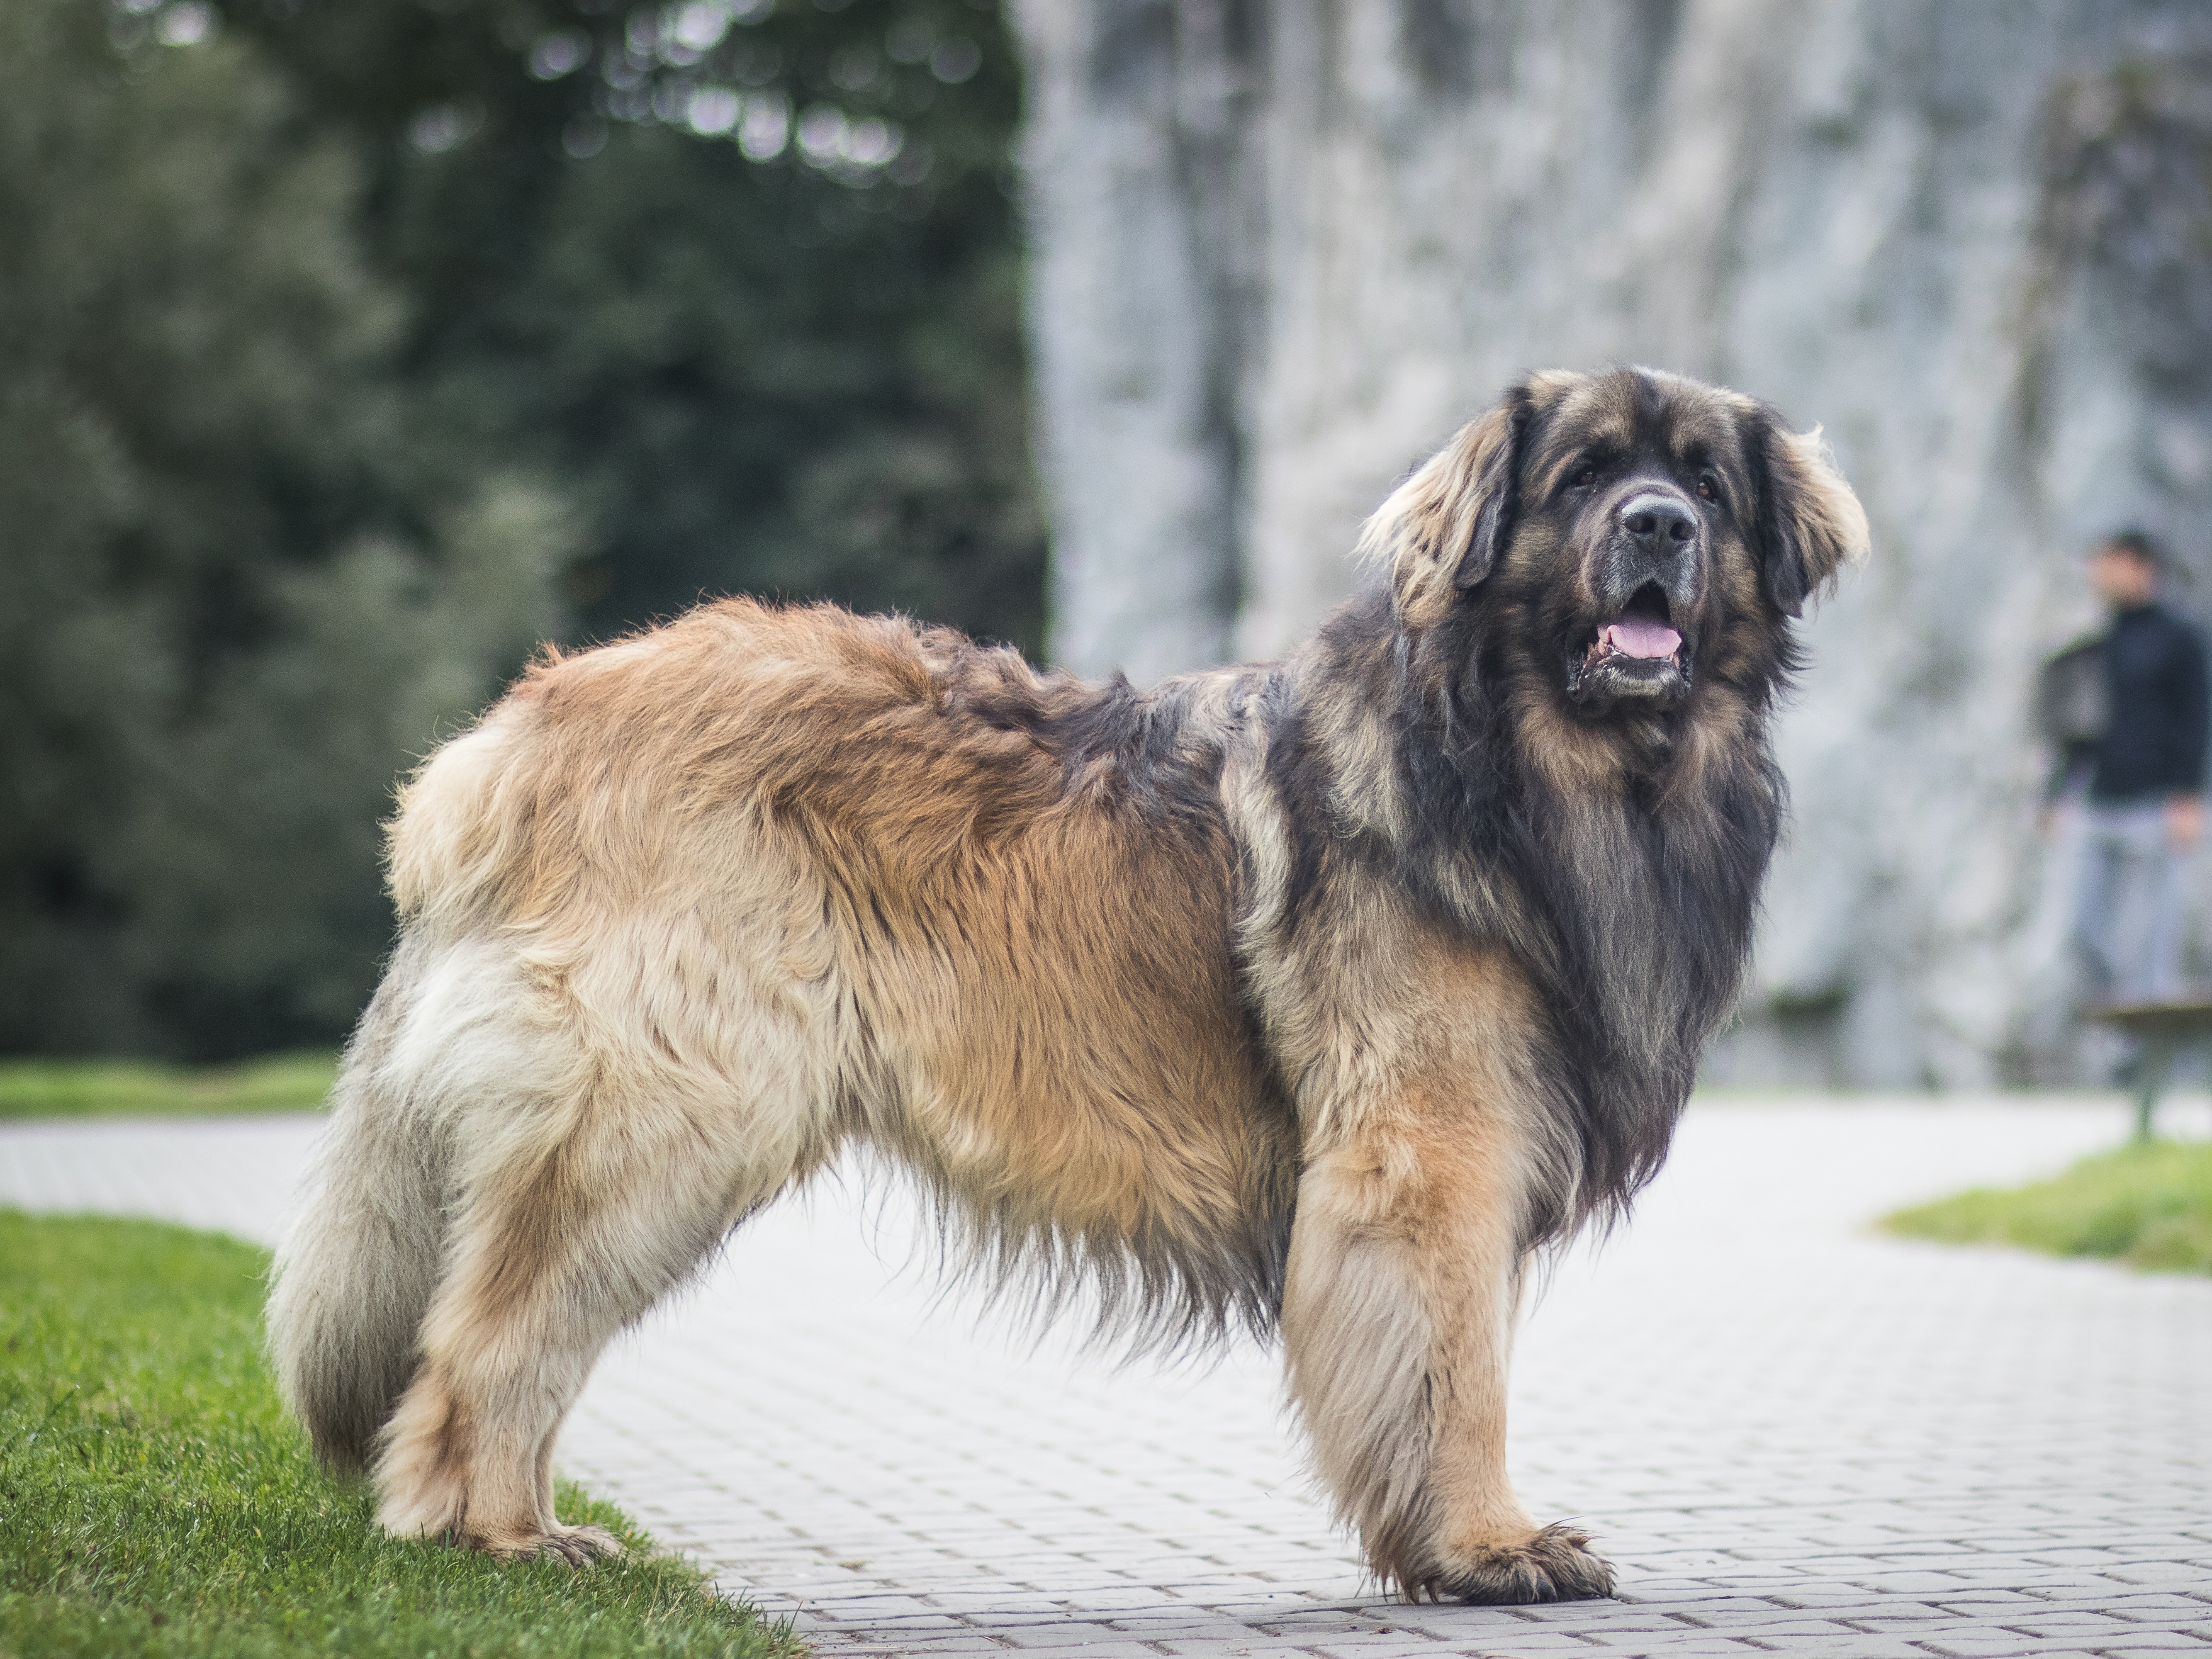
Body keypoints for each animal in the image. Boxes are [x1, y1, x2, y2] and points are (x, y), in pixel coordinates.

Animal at [272, 367, 1867, 1610]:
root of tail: (515, 728)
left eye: (1704, 485)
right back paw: (490, 1541)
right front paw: (1486, 1547)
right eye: (1585, 477)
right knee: (484, 1341)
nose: (1657, 527)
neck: (1545, 769)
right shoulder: (1431, 1152)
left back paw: (528, 1527)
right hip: (667, 1114)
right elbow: (1455, 1372)